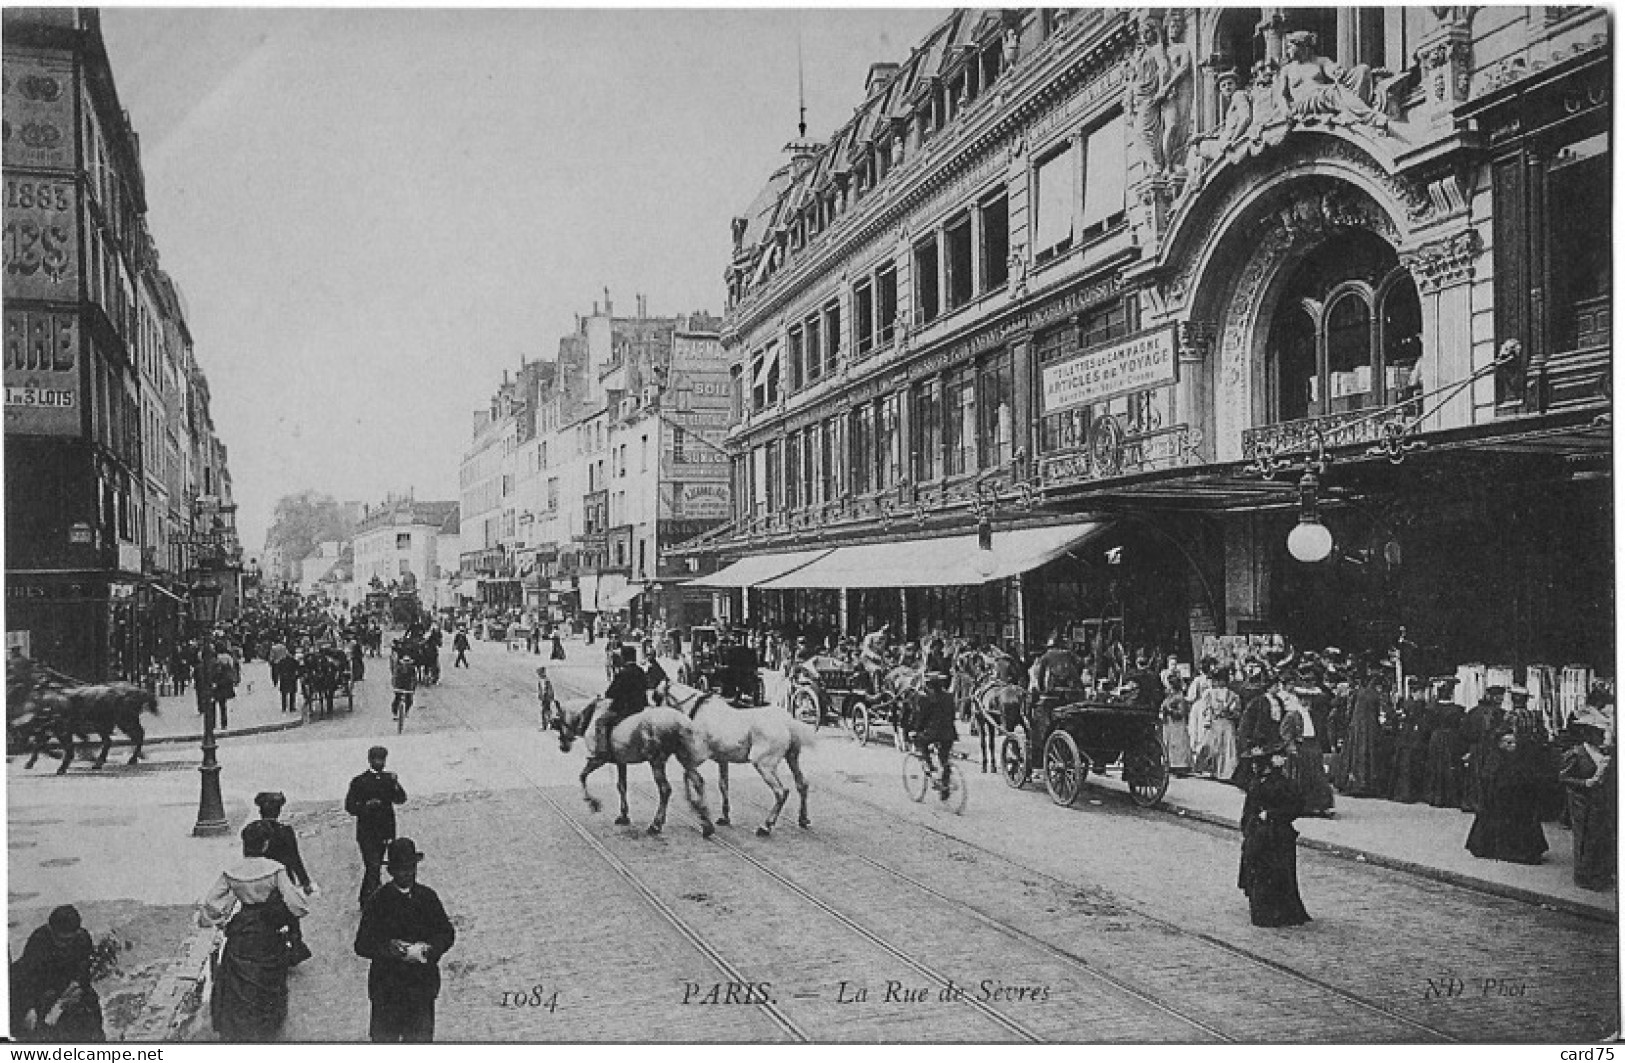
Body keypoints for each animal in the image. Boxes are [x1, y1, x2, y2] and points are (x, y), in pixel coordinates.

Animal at [555, 698, 715, 838]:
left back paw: (656, 825)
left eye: (557, 720)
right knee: (698, 781)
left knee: (665, 789)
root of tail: (680, 721)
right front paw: (623, 815)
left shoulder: (598, 759)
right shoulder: (621, 762)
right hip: (683, 757)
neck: (590, 714)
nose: (563, 747)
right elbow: (621, 786)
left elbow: (582, 776)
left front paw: (593, 803)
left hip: (656, 761)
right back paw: (706, 824)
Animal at [659, 685, 812, 838]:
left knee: (781, 792)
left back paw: (766, 826)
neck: (700, 709)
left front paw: (696, 806)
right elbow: (723, 785)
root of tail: (788, 722)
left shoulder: (698, 756)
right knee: (802, 784)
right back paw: (803, 819)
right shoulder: (722, 760)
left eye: (657, 695)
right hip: (792, 758)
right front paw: (724, 817)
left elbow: (688, 775)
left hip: (763, 765)